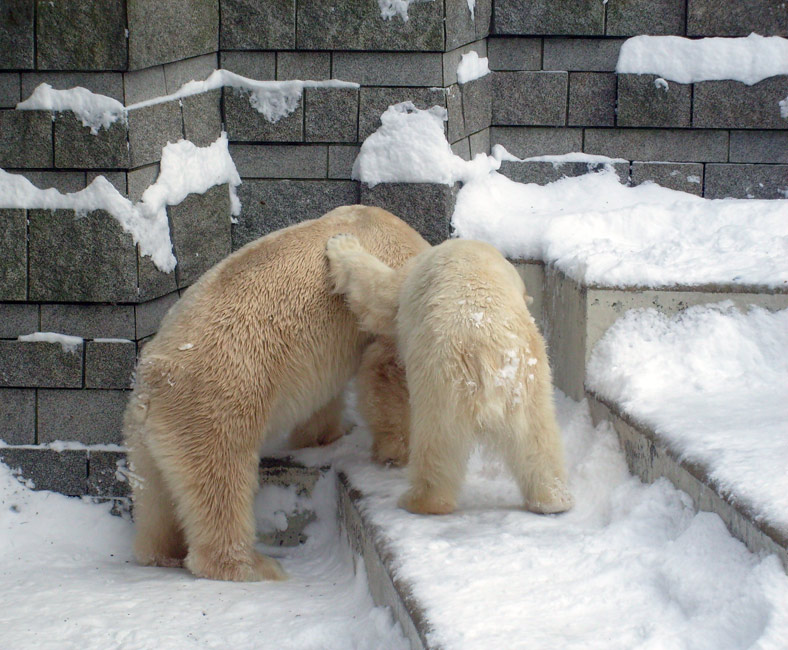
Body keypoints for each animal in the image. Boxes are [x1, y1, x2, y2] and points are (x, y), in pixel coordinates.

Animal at [122, 205, 428, 580]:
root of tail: (151, 386)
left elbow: (323, 399)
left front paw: (326, 436)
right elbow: (387, 368)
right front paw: (396, 452)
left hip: (144, 434)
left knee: (155, 495)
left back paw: (161, 552)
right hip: (215, 405)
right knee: (221, 481)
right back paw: (253, 566)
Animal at [326, 235, 572, 512]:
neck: (475, 254)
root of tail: (490, 357)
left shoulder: (413, 276)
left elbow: (381, 294)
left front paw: (342, 243)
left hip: (445, 383)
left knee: (437, 444)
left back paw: (420, 501)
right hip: (528, 384)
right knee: (538, 440)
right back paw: (552, 499)